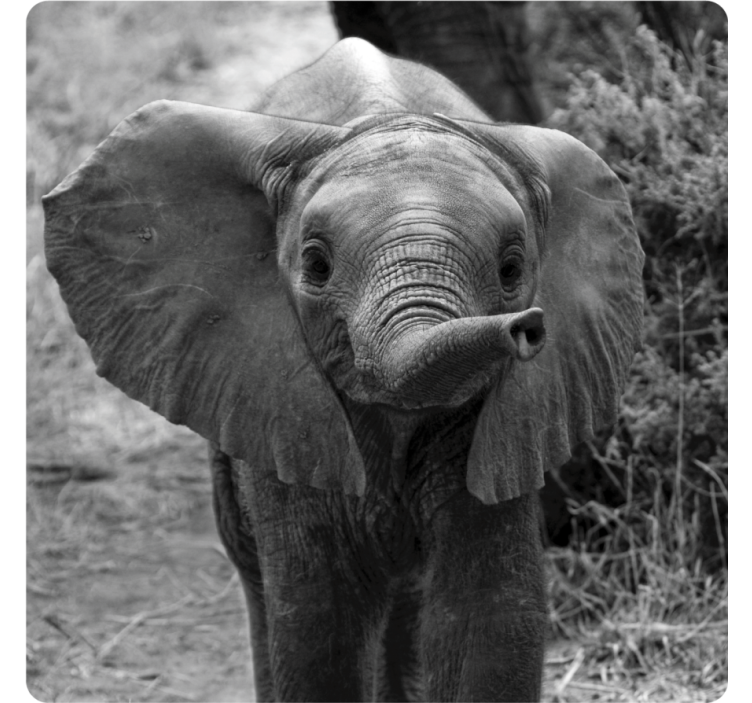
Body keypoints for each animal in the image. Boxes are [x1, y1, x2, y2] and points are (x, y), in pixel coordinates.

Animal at [44, 38, 644, 702]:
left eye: (512, 270)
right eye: (315, 264)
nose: (528, 329)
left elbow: (489, 612)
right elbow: (319, 618)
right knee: (264, 584)